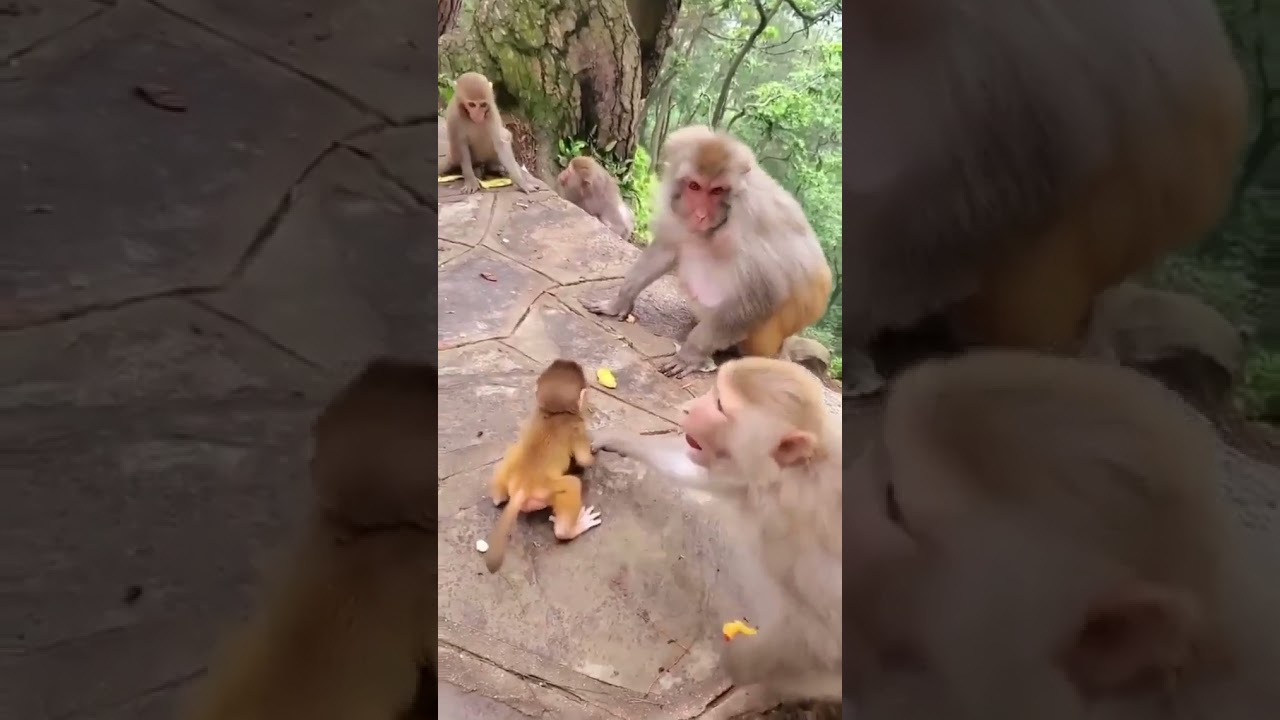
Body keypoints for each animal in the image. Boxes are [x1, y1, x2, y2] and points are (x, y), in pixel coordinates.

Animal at [485, 359, 602, 574]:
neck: (554, 412)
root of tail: (522, 487)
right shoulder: (577, 427)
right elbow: (584, 458)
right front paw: (593, 454)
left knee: (513, 450)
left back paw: (498, 496)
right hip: (546, 491)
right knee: (572, 484)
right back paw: (569, 530)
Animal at [584, 126, 833, 378]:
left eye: (717, 190)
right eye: (694, 186)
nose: (701, 215)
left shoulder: (750, 221)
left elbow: (761, 296)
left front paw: (690, 354)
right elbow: (668, 247)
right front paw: (619, 303)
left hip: (767, 337)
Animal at [592, 357, 842, 704]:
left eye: (721, 405)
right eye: (715, 395)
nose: (689, 409)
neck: (786, 477)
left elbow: (827, 638)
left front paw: (739, 665)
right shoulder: (744, 477)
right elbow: (694, 471)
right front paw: (619, 440)